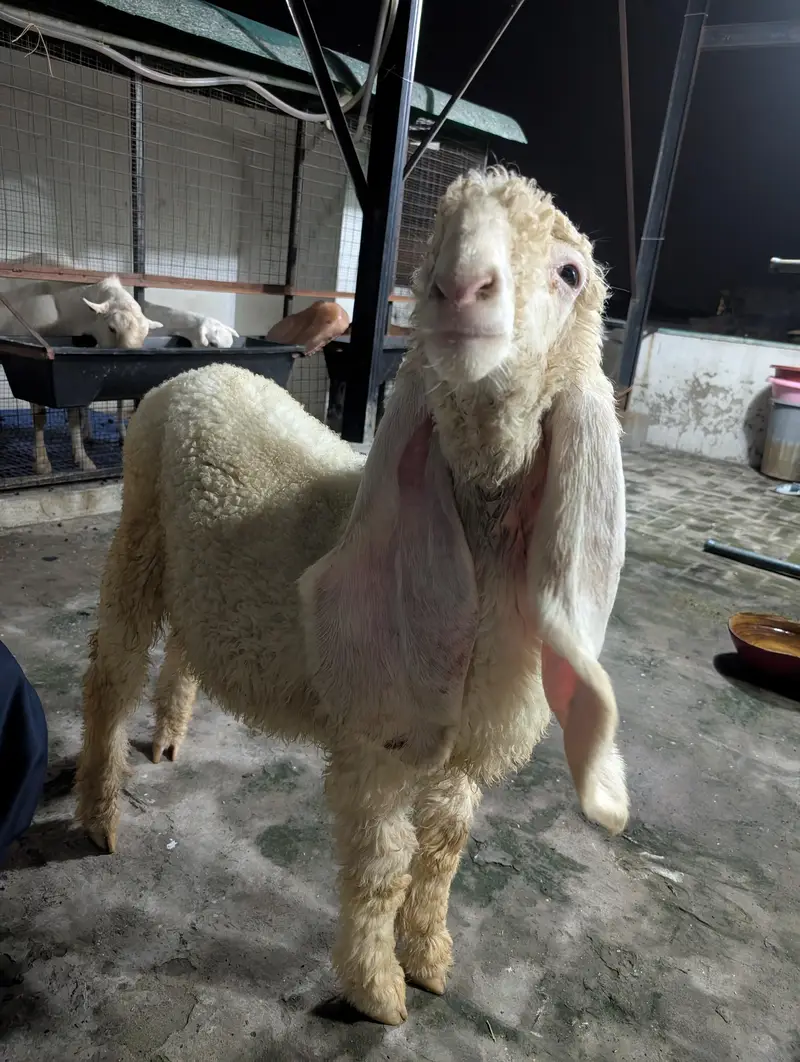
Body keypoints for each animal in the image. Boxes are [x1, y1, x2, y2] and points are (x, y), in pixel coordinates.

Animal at [0, 275, 162, 474]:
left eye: (145, 334)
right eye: (112, 328)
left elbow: (74, 415)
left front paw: (82, 459)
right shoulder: (34, 367)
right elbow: (39, 416)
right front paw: (42, 463)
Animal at [75, 167, 628, 1026]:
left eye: (571, 272)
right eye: (428, 254)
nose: (460, 287)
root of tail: (204, 373)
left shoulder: (463, 752)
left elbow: (443, 848)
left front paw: (430, 958)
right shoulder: (375, 736)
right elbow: (383, 863)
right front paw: (378, 991)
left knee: (185, 645)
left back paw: (168, 734)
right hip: (136, 530)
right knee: (112, 672)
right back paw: (99, 815)